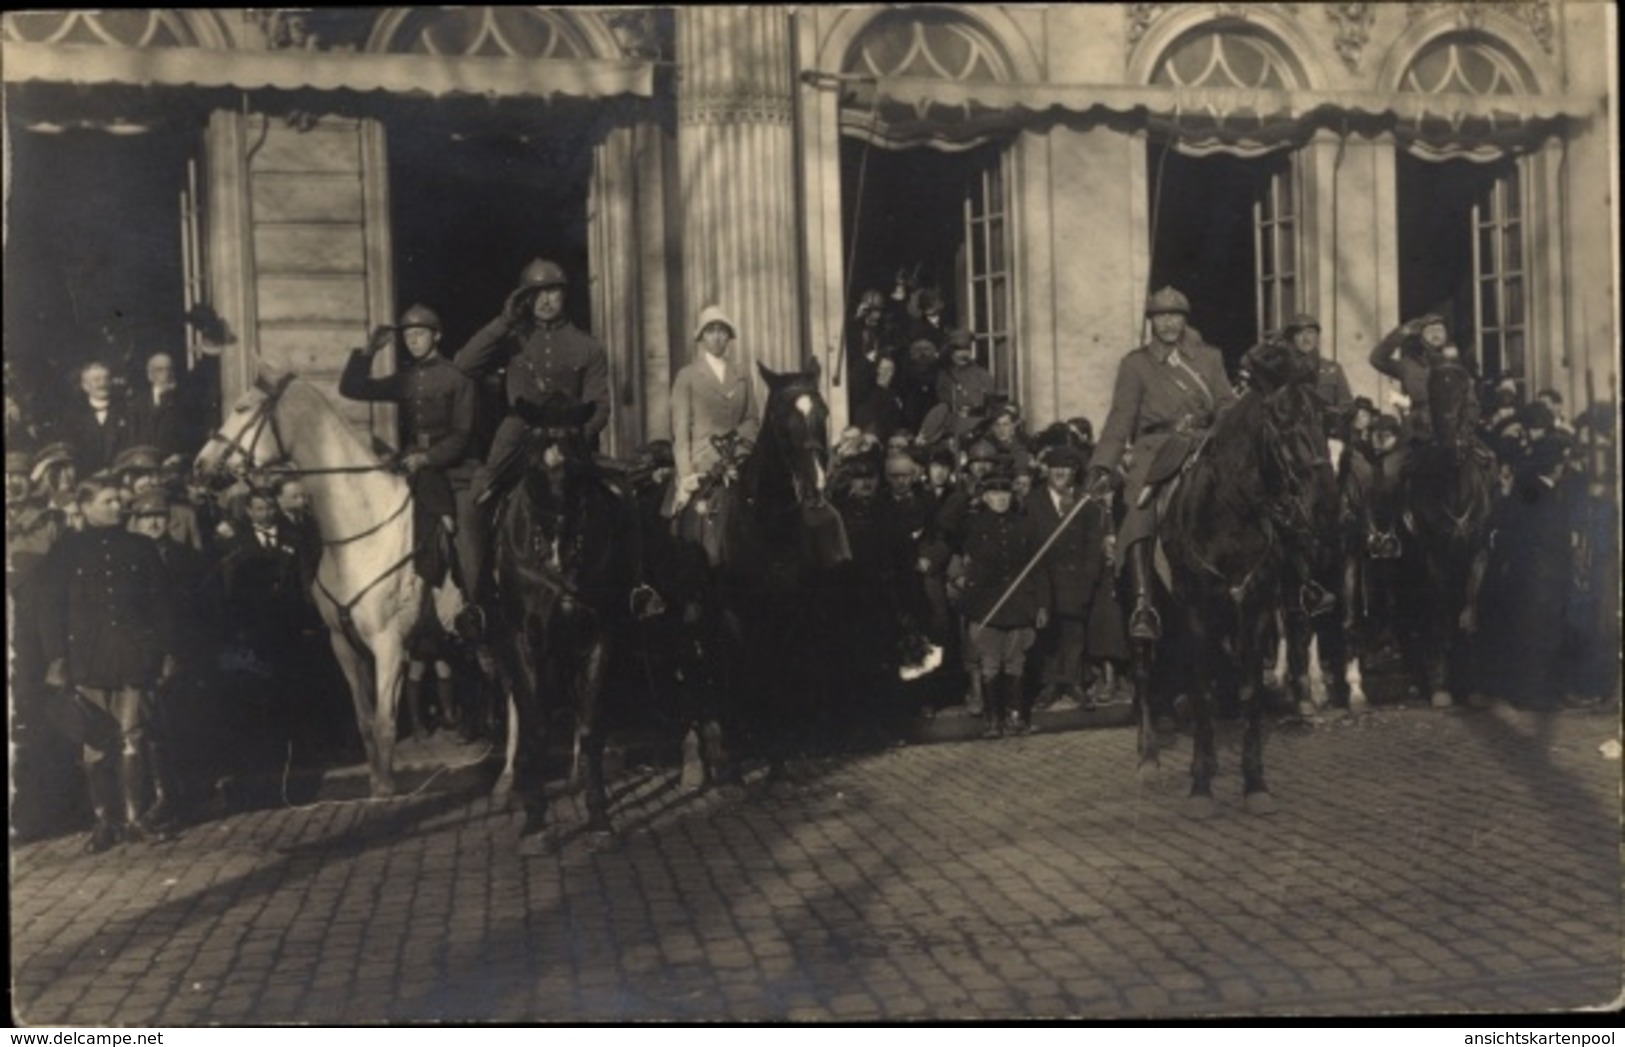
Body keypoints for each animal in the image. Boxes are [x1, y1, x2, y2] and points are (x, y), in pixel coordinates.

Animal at [195, 365, 429, 793]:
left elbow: (385, 726)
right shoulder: (346, 644)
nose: (199, 466)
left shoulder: (389, 644)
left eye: (242, 408)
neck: (362, 531)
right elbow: (367, 724)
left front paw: (386, 792)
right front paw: (377, 786)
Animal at [1131, 343, 1332, 819]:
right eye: (1281, 416)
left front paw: (1254, 783)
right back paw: (1148, 758)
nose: (1324, 497)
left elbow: (1248, 691)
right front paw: (1201, 788)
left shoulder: (1253, 605)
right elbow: (1202, 692)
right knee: (1146, 669)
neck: (1229, 509)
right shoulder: (1196, 605)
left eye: (1322, 414)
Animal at [1397, 364, 1495, 708]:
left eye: (1464, 391)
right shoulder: (1433, 559)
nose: (1454, 444)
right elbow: (1438, 619)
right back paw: (1417, 683)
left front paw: (1476, 689)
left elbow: (1472, 616)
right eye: (1433, 390)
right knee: (1410, 622)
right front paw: (1441, 689)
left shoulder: (1478, 555)